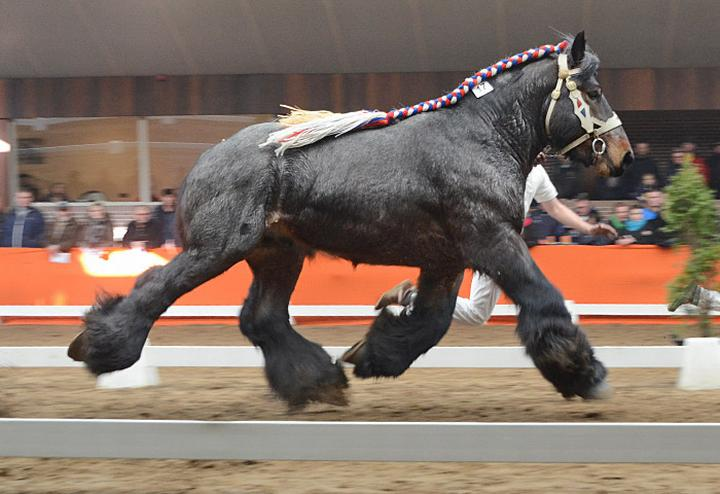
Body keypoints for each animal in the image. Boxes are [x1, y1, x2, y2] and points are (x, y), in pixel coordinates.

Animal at [67, 31, 632, 410]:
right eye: (594, 90)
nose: (623, 155)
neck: (480, 136)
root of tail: (205, 161)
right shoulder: (491, 238)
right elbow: (544, 300)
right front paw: (583, 372)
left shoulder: (448, 257)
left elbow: (429, 322)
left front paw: (372, 354)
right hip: (216, 248)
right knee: (154, 289)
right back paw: (100, 347)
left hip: (277, 254)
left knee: (262, 318)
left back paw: (317, 382)